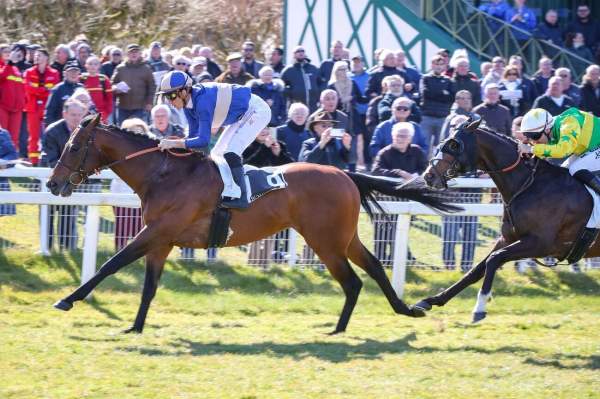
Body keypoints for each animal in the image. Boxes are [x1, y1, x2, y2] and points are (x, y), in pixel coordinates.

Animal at [47, 114, 460, 336]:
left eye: (73, 146)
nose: (53, 183)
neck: (165, 174)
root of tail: (343, 172)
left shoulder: (156, 232)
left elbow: (110, 264)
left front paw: (67, 299)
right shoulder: (161, 241)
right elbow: (148, 287)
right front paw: (134, 327)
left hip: (326, 241)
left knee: (353, 281)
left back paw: (340, 329)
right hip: (342, 238)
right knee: (372, 267)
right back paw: (404, 310)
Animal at [412, 117, 600, 324]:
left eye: (454, 144)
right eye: (442, 142)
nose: (428, 176)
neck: (529, 185)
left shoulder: (542, 244)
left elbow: (494, 259)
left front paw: (480, 307)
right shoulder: (508, 238)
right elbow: (477, 269)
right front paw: (431, 300)